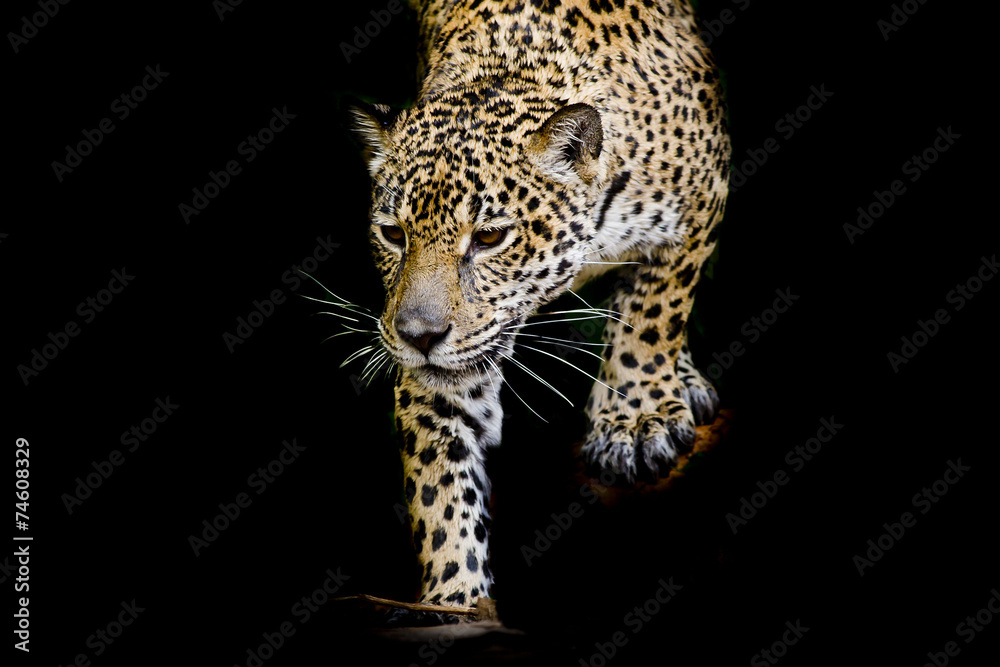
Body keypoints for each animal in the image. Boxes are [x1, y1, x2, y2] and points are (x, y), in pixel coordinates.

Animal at [349, 0, 730, 613]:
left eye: (488, 237)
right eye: (392, 234)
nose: (418, 336)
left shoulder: (702, 202)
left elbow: (654, 311)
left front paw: (635, 416)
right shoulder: (448, 368)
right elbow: (439, 487)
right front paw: (456, 599)